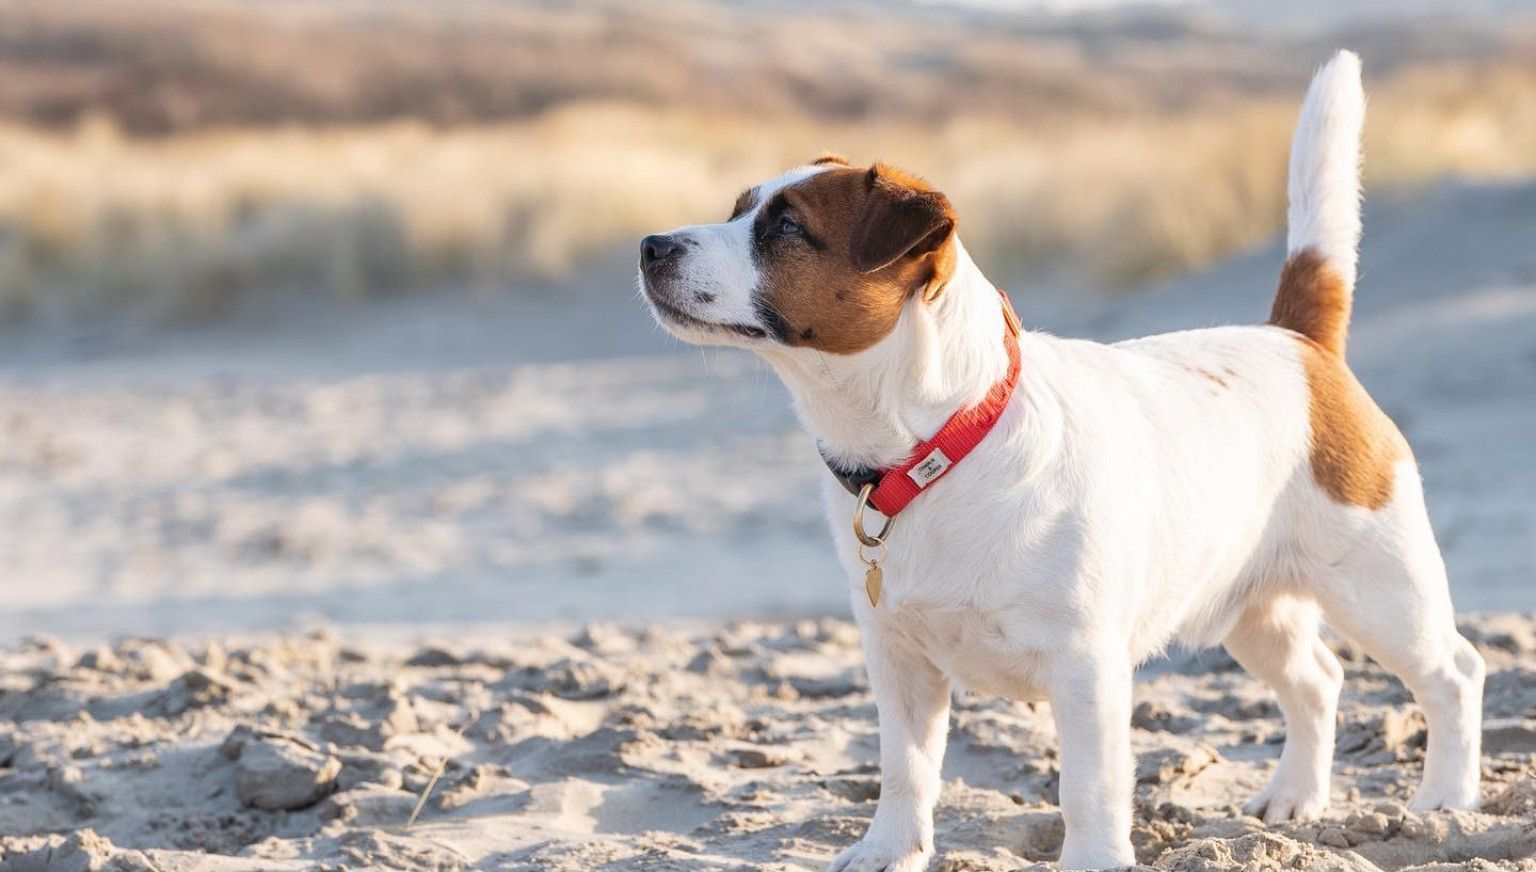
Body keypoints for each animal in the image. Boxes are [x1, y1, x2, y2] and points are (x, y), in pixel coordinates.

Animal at [632, 51, 1474, 865]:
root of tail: (1299, 342)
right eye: (739, 209)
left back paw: (1445, 803)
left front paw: (1094, 860)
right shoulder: (898, 661)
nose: (648, 245)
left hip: (1380, 590)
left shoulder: (1086, 669)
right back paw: (1295, 797)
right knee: (1318, 682)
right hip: (1249, 606)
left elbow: (1089, 791)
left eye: (786, 229)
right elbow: (905, 771)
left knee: (1453, 674)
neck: (937, 447)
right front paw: (889, 852)